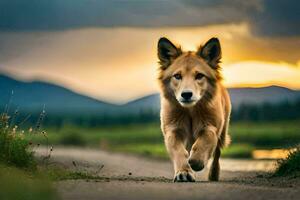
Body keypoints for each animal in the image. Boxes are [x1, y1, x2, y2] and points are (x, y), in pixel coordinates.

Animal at [158, 36, 231, 182]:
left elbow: (205, 140)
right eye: (177, 76)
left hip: (223, 132)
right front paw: (184, 172)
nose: (186, 94)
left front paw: (196, 161)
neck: (190, 111)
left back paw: (213, 174)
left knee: (217, 154)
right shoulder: (173, 129)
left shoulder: (210, 127)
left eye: (199, 76)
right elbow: (179, 151)